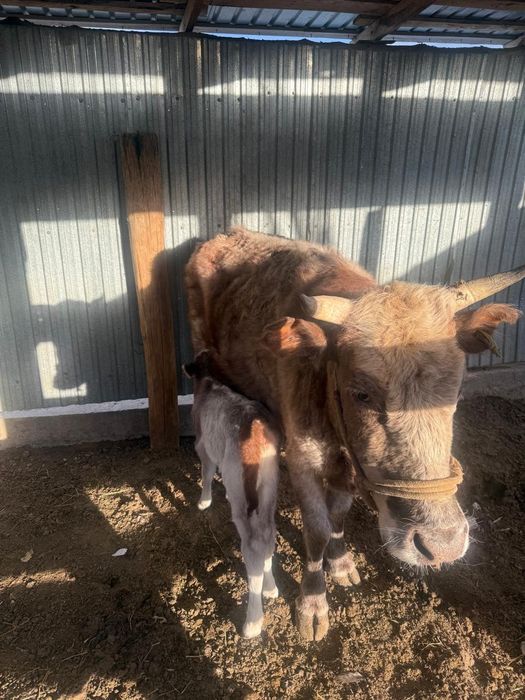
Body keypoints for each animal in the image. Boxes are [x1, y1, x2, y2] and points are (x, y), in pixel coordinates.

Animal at [185, 226, 525, 641]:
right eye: (361, 393)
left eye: (456, 391)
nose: (442, 543)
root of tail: (225, 234)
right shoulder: (302, 459)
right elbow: (316, 529)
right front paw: (313, 602)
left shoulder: (348, 469)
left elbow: (338, 517)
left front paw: (341, 562)